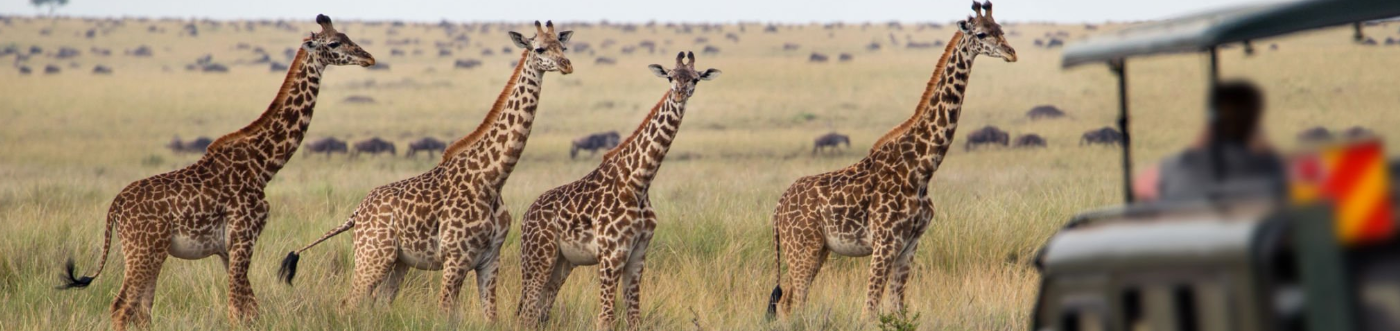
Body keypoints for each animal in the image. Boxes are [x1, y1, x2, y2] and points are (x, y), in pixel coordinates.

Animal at [56, 14, 372, 329]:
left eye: (347, 37)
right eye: (335, 43)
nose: (368, 57)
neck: (263, 165)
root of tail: (115, 208)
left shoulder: (227, 248)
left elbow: (249, 308)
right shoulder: (244, 237)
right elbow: (238, 309)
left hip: (152, 253)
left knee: (142, 310)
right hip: (143, 251)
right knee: (122, 306)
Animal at [275, 20, 571, 321]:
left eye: (563, 46)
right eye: (539, 48)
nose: (566, 65)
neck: (492, 178)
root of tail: (356, 213)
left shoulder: (490, 259)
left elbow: (491, 316)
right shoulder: (455, 258)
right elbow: (444, 313)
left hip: (398, 262)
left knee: (380, 303)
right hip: (373, 256)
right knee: (349, 302)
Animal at [520, 51, 728, 328]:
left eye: (695, 79)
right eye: (670, 77)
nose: (679, 93)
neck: (639, 182)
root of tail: (525, 217)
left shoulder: (638, 254)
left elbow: (633, 316)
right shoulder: (611, 254)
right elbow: (606, 317)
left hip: (562, 263)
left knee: (540, 312)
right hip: (538, 258)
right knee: (527, 312)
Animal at [767, 1, 1019, 319]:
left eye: (1001, 29)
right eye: (982, 34)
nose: (1012, 53)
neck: (921, 169)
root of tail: (778, 208)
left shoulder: (910, 244)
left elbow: (898, 307)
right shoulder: (885, 243)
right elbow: (870, 309)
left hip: (816, 248)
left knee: (789, 300)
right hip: (803, 246)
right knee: (795, 301)